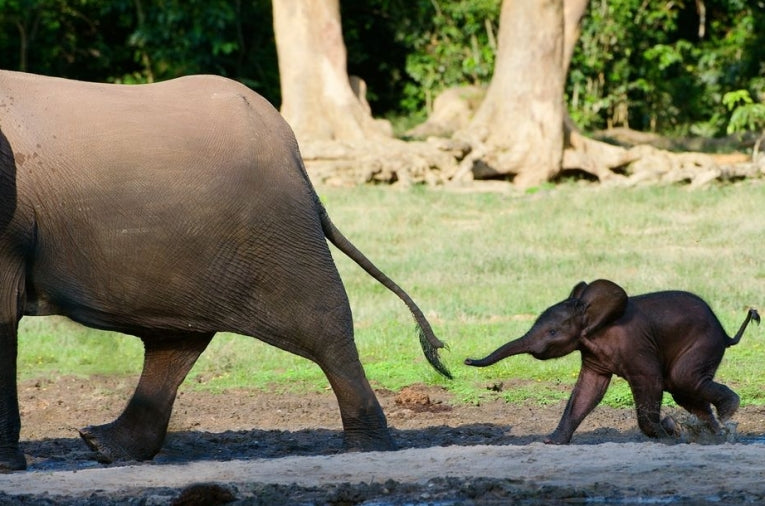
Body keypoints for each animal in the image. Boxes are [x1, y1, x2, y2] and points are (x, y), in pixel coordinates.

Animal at [0, 70, 451, 471]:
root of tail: (295, 155)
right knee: (176, 340)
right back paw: (104, 446)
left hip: (278, 230)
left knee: (325, 327)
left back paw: (366, 449)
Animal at [465, 279, 760, 444]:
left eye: (552, 332)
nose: (466, 360)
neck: (595, 318)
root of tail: (726, 334)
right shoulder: (593, 354)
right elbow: (588, 390)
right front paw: (552, 442)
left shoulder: (636, 345)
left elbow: (650, 381)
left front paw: (667, 436)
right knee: (684, 390)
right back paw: (716, 436)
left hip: (703, 343)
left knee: (681, 379)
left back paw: (728, 413)